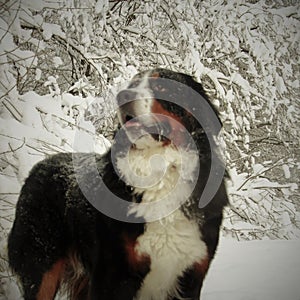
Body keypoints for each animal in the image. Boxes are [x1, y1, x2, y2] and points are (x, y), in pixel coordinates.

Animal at [7, 69, 227, 298]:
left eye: (163, 87)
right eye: (133, 84)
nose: (123, 95)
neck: (160, 174)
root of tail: (41, 164)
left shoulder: (191, 277)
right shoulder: (113, 274)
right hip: (43, 266)